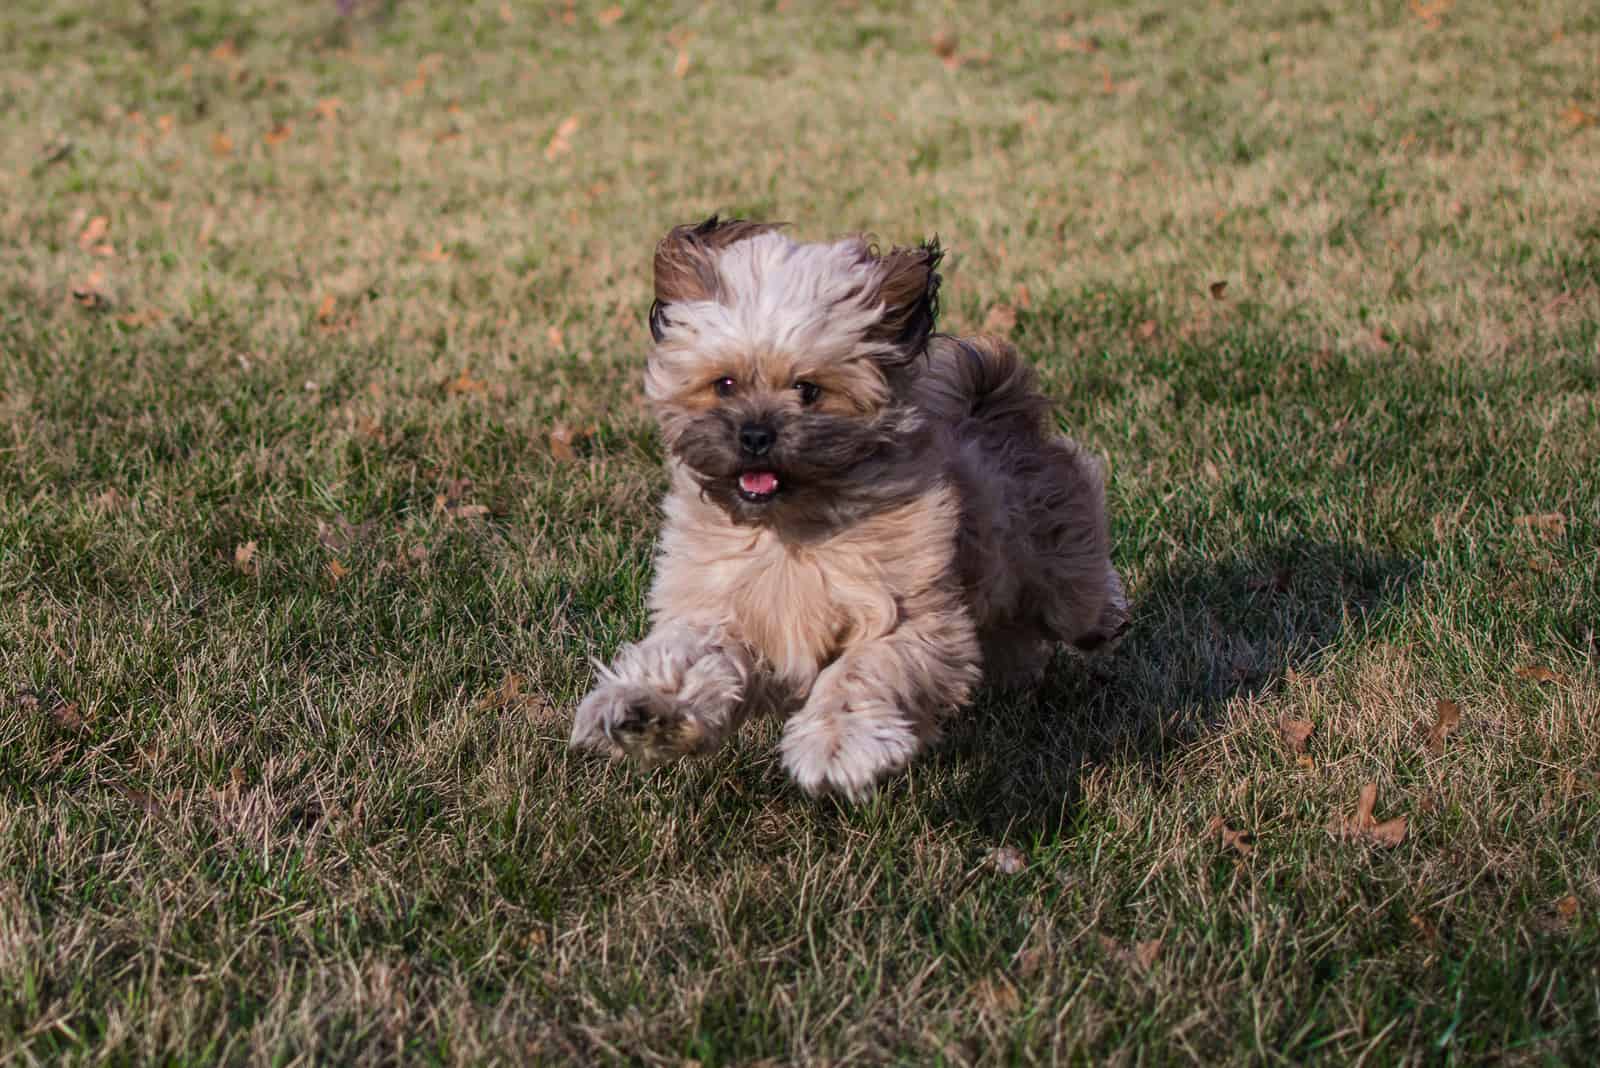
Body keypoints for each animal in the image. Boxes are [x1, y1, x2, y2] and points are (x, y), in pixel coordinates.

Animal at [572, 219, 1126, 799]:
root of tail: (991, 400)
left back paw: (1108, 617)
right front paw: (641, 708)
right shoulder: (723, 605)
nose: (755, 434)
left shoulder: (910, 614)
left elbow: (863, 670)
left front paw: (836, 745)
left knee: (1080, 598)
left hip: (1060, 562)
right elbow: (690, 657)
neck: (789, 530)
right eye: (725, 383)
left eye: (808, 389)